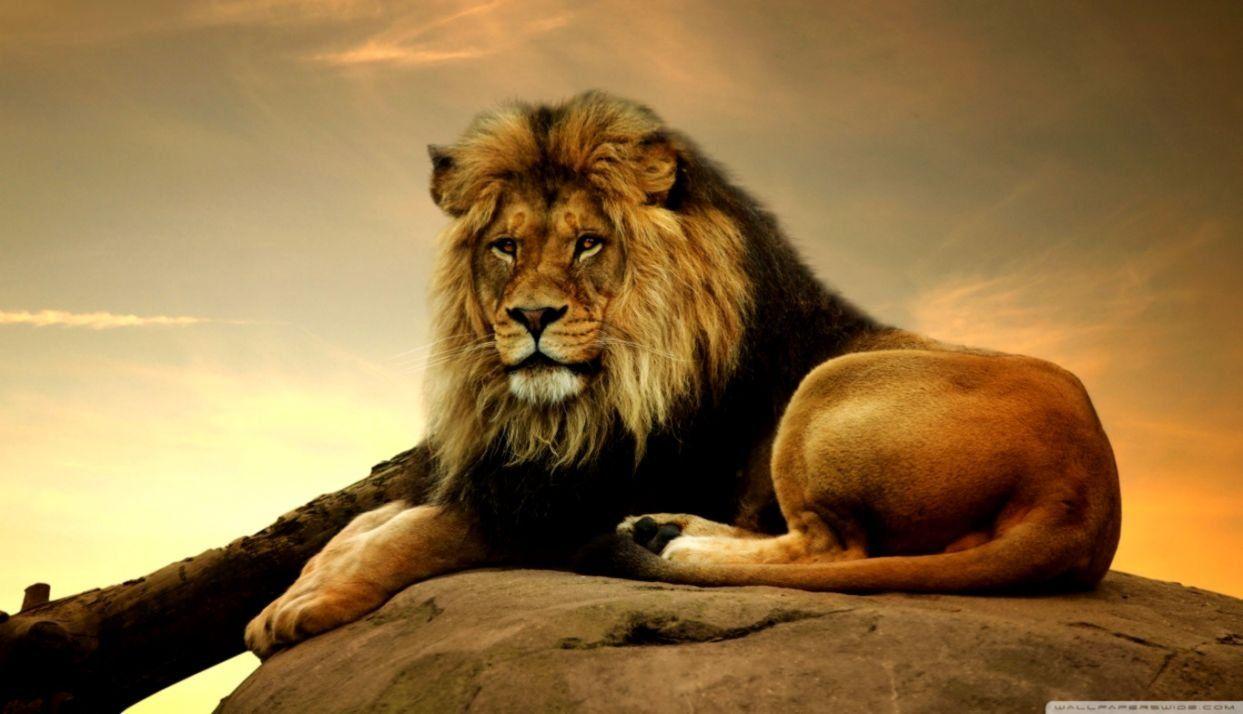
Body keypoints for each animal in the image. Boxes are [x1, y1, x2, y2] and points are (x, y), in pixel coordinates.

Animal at [244, 91, 1121, 657]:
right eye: (505, 247)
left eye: (587, 244)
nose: (531, 318)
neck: (565, 407)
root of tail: (1085, 496)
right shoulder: (509, 470)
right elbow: (367, 522)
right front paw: (297, 588)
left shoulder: (560, 499)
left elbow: (411, 534)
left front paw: (306, 607)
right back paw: (662, 532)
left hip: (828, 388)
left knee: (834, 549)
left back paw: (675, 545)